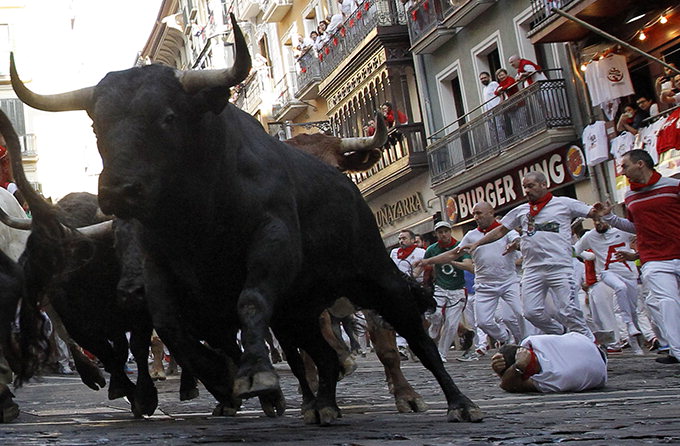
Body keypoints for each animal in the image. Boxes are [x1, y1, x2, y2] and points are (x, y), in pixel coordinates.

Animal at [11, 14, 484, 426]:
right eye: (96, 125)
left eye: (167, 116)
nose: (117, 191)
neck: (197, 213)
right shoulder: (158, 271)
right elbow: (172, 329)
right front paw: (220, 380)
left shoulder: (271, 243)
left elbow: (252, 301)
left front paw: (255, 374)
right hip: (298, 308)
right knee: (321, 352)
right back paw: (321, 405)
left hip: (375, 277)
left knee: (415, 335)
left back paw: (458, 402)